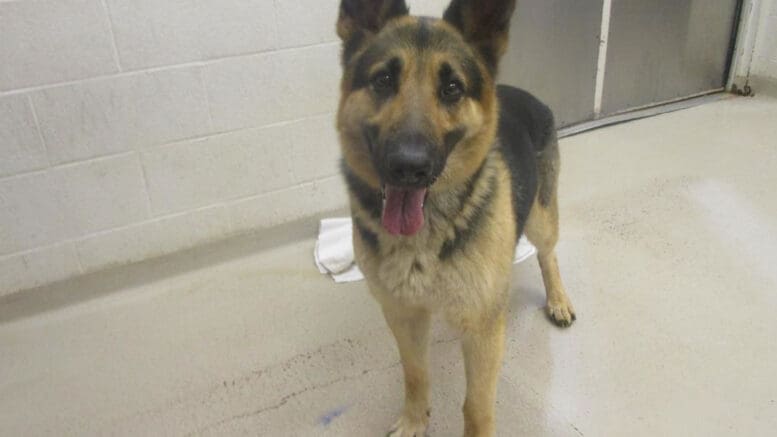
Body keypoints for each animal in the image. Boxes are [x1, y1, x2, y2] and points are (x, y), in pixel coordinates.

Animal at [336, 1, 572, 434]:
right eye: (383, 80)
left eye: (451, 89)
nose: (408, 167)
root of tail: (522, 93)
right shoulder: (403, 315)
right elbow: (415, 374)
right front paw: (415, 420)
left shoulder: (482, 333)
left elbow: (476, 406)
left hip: (541, 219)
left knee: (548, 255)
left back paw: (559, 300)